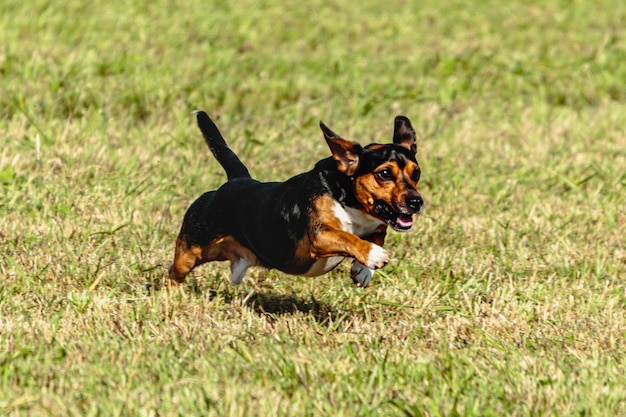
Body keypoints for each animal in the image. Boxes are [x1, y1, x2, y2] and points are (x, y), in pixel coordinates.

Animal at [168, 109, 422, 286]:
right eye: (385, 173)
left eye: (416, 173)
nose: (416, 202)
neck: (349, 201)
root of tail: (237, 180)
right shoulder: (320, 235)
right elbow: (347, 237)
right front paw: (373, 255)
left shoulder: (377, 227)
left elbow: (377, 236)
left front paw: (363, 270)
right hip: (190, 252)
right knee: (174, 271)